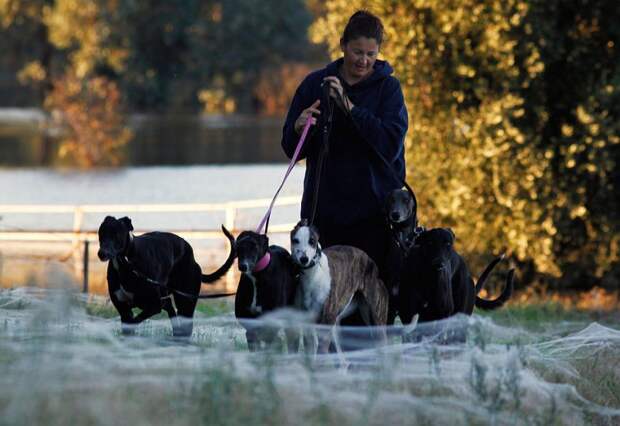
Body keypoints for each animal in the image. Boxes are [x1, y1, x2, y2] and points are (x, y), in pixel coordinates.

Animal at [290, 220, 388, 352]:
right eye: (295, 240)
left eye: (312, 241)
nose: (304, 259)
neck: (313, 276)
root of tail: (372, 263)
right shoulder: (308, 323)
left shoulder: (327, 320)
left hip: (376, 318)